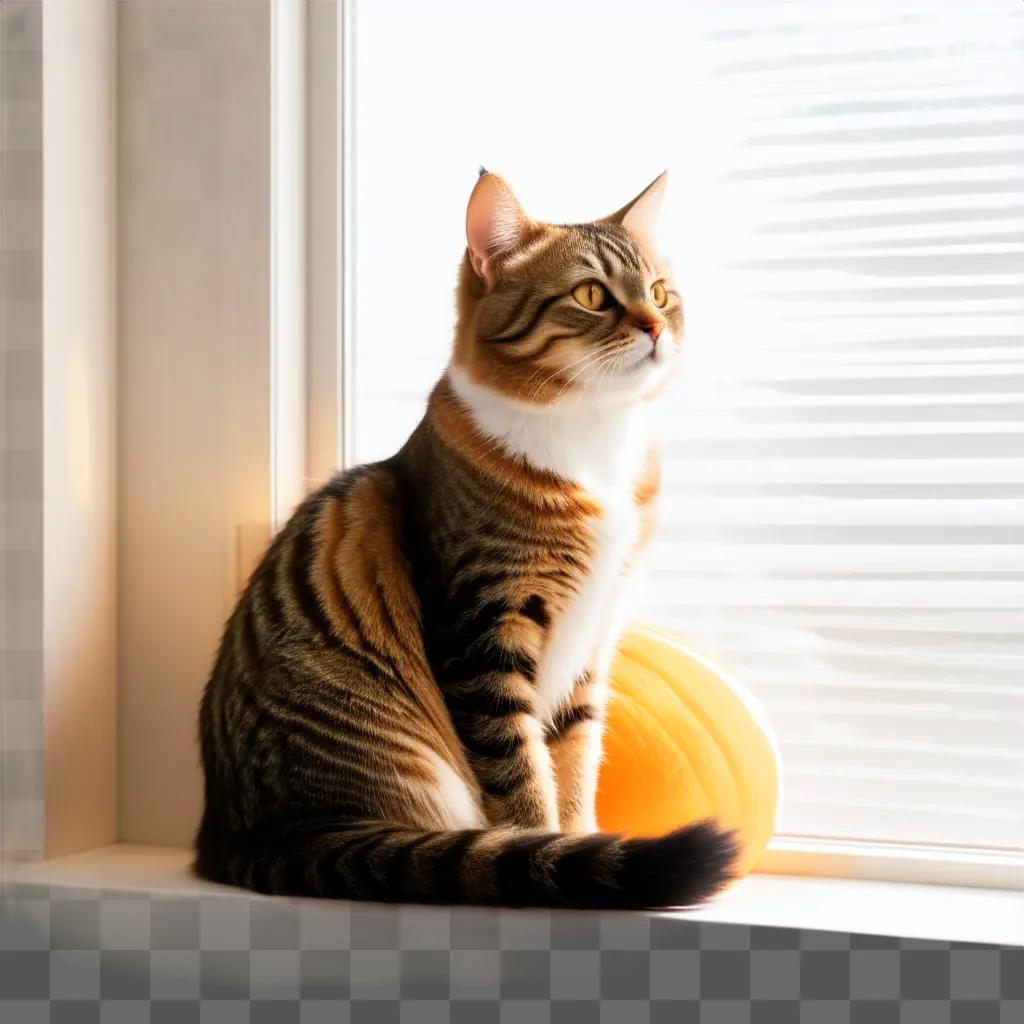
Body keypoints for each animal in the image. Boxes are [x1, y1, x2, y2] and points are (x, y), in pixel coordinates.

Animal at [195, 172, 737, 909]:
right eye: (592, 295)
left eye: (658, 293)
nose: (656, 327)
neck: (593, 437)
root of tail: (243, 836)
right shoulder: (483, 631)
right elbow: (521, 776)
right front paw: (547, 854)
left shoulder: (592, 641)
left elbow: (573, 765)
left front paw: (579, 837)